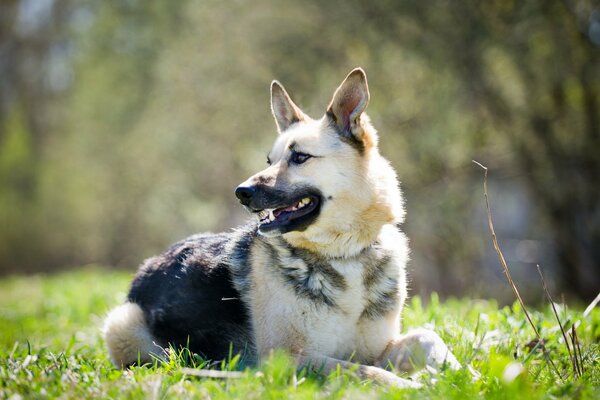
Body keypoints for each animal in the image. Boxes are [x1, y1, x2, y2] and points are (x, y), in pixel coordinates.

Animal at [103, 68, 460, 388]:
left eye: (300, 157)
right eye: (269, 160)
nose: (241, 192)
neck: (343, 254)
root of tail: (151, 263)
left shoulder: (378, 347)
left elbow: (427, 337)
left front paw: (458, 375)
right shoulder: (290, 357)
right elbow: (363, 372)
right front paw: (410, 386)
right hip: (121, 323)